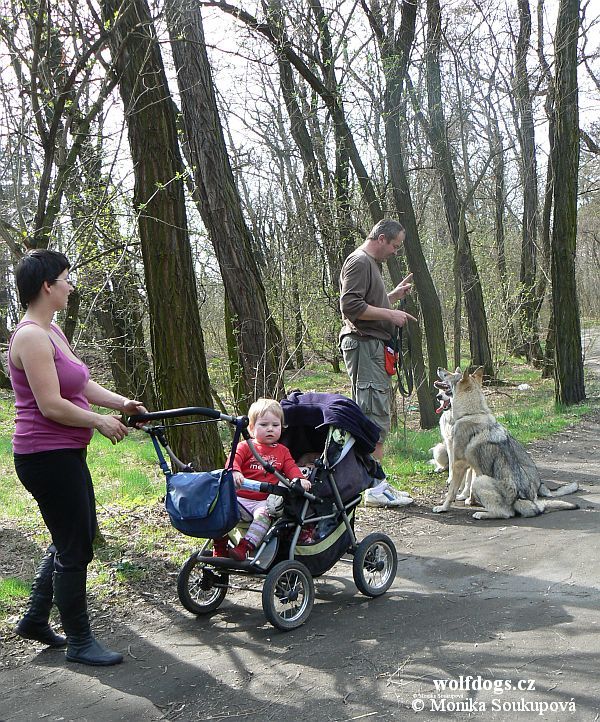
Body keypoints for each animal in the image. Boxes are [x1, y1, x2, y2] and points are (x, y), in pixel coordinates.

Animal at [434, 366, 580, 516]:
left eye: (451, 374)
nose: (439, 368)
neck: (471, 414)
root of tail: (523, 500)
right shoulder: (470, 465)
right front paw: (468, 500)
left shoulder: (459, 464)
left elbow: (451, 491)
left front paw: (443, 507)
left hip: (480, 481)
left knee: (506, 513)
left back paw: (482, 514)